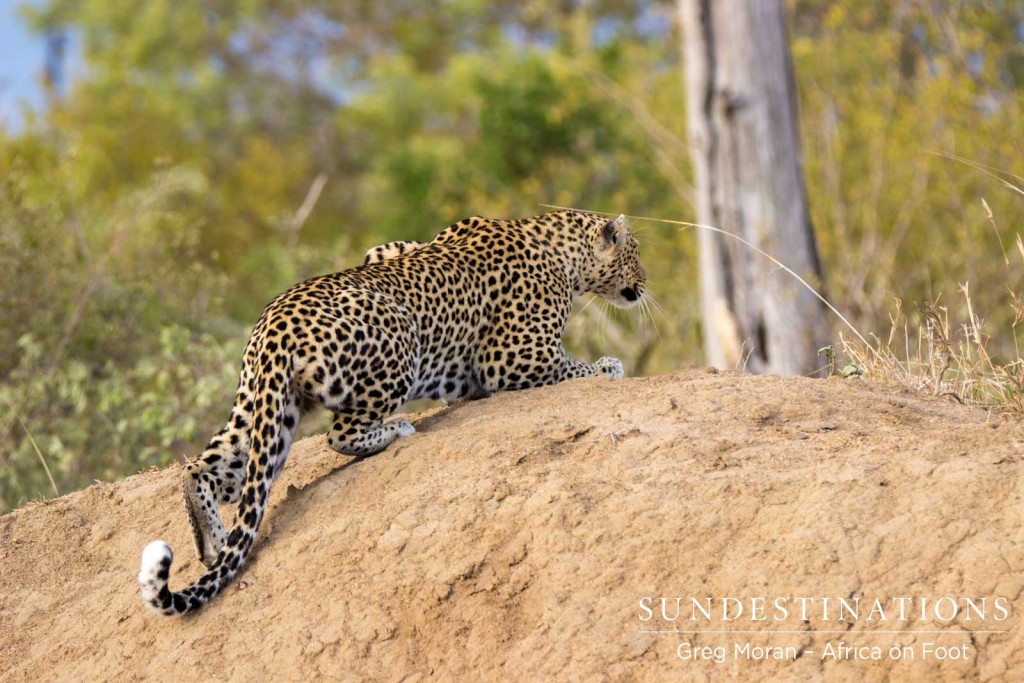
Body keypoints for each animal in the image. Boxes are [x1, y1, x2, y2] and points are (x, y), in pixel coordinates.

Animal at [137, 206, 647, 614]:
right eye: (636, 251)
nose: (644, 285)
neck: (558, 247)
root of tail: (276, 323)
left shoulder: (389, 249)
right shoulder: (514, 356)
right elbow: (574, 367)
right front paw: (608, 365)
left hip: (266, 412)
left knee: (202, 469)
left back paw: (212, 542)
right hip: (401, 337)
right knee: (339, 433)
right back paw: (396, 429)